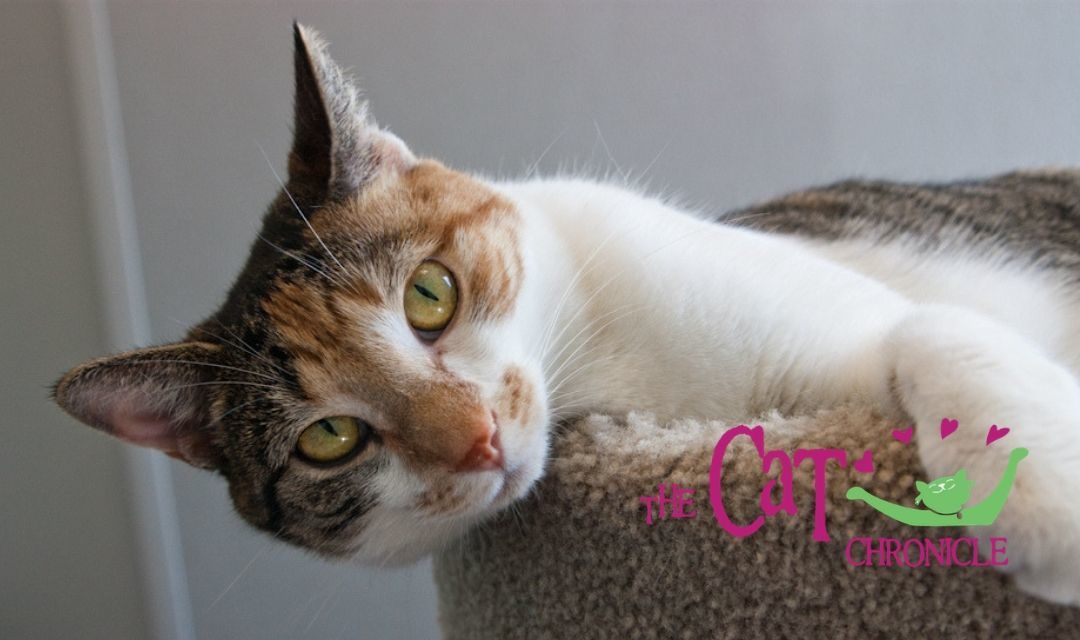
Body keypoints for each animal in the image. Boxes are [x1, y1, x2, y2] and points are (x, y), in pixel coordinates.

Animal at [52, 23, 1080, 604]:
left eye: (430, 294)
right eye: (329, 439)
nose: (474, 438)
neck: (610, 370)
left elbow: (924, 328)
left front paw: (1036, 491)